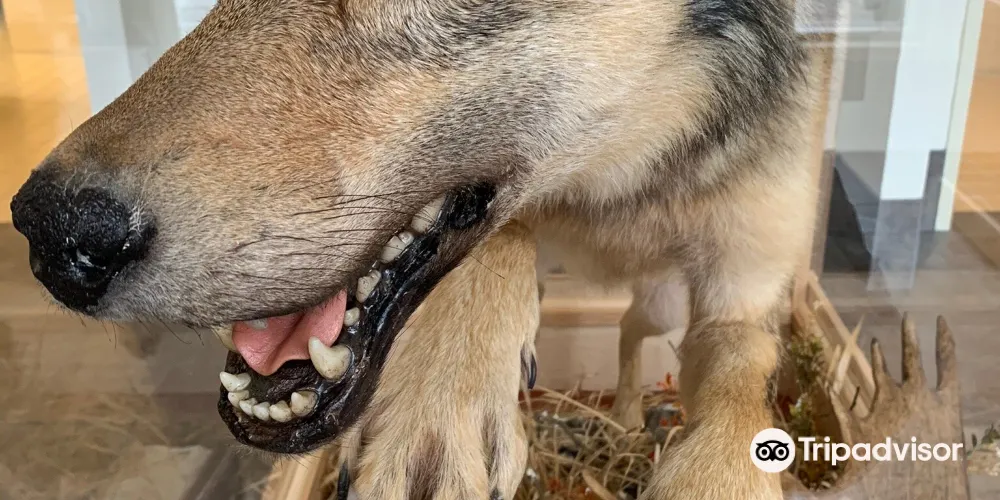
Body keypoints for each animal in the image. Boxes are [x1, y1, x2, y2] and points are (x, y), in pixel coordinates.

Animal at [10, 0, 823, 498]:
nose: (50, 233)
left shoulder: (744, 291)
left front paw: (716, 477)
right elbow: (500, 240)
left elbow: (742, 388)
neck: (617, 184)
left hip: (662, 305)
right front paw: (438, 410)